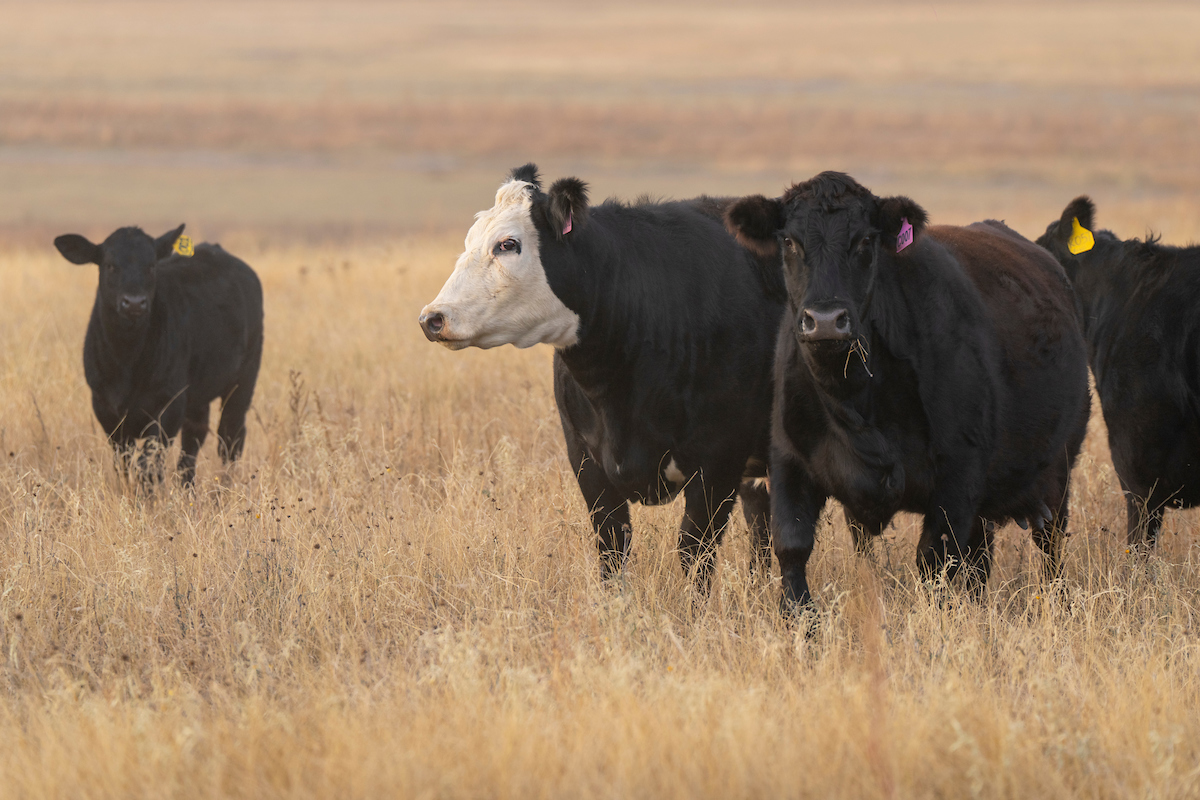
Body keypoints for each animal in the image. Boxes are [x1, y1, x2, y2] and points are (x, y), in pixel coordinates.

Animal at [53, 225, 262, 489]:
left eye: (151, 265)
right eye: (110, 265)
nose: (134, 303)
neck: (126, 359)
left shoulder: (169, 405)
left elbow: (148, 464)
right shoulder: (105, 408)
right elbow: (124, 462)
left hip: (244, 379)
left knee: (230, 437)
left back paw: (223, 489)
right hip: (198, 395)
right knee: (194, 438)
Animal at [417, 164, 782, 587]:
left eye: (508, 244)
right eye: (469, 240)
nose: (432, 318)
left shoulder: (718, 462)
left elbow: (695, 557)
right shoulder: (586, 463)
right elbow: (612, 551)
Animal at [724, 173, 1094, 614]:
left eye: (866, 241)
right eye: (789, 242)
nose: (827, 321)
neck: (854, 398)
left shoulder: (958, 472)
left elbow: (934, 560)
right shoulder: (788, 460)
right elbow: (791, 546)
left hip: (1056, 472)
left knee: (1048, 546)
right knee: (981, 559)